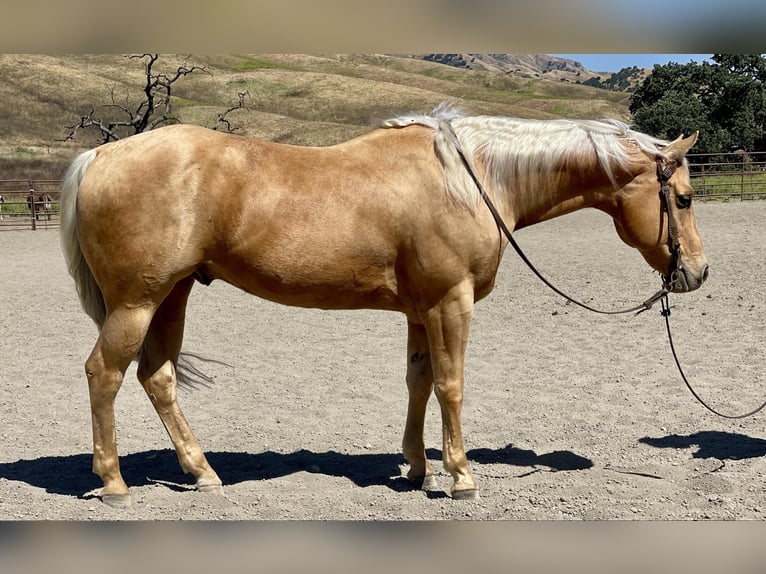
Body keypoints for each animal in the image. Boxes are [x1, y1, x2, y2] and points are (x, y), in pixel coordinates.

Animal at [59, 104, 708, 508]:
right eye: (682, 197)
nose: (697, 273)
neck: (470, 180)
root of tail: (100, 157)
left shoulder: (421, 311)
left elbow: (419, 382)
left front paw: (419, 469)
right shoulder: (451, 302)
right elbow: (451, 384)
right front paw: (461, 476)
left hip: (172, 295)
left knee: (157, 377)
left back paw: (202, 474)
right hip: (137, 302)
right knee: (104, 374)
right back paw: (114, 483)